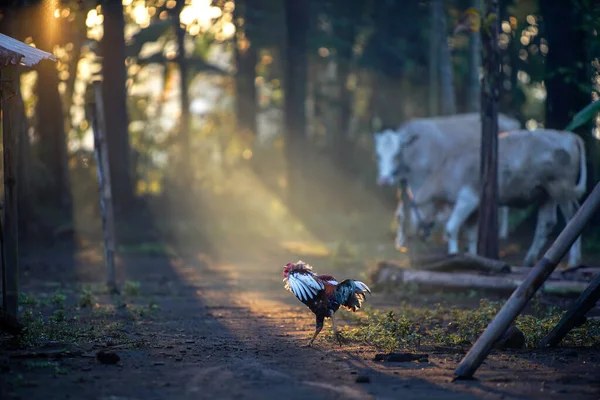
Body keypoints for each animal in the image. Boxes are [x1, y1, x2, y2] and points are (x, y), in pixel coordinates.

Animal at [376, 112, 520, 248]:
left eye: (396, 154)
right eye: (378, 155)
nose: (384, 179)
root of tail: (510, 120)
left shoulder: (425, 181)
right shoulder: (402, 183)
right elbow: (400, 213)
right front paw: (400, 241)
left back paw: (502, 233)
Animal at [410, 130, 588, 268]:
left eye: (413, 208)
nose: (418, 234)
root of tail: (568, 135)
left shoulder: (468, 197)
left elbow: (451, 227)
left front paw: (453, 255)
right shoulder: (476, 208)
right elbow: (472, 234)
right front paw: (472, 259)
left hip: (561, 187)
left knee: (573, 217)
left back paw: (574, 261)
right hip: (547, 192)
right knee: (547, 223)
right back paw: (529, 260)